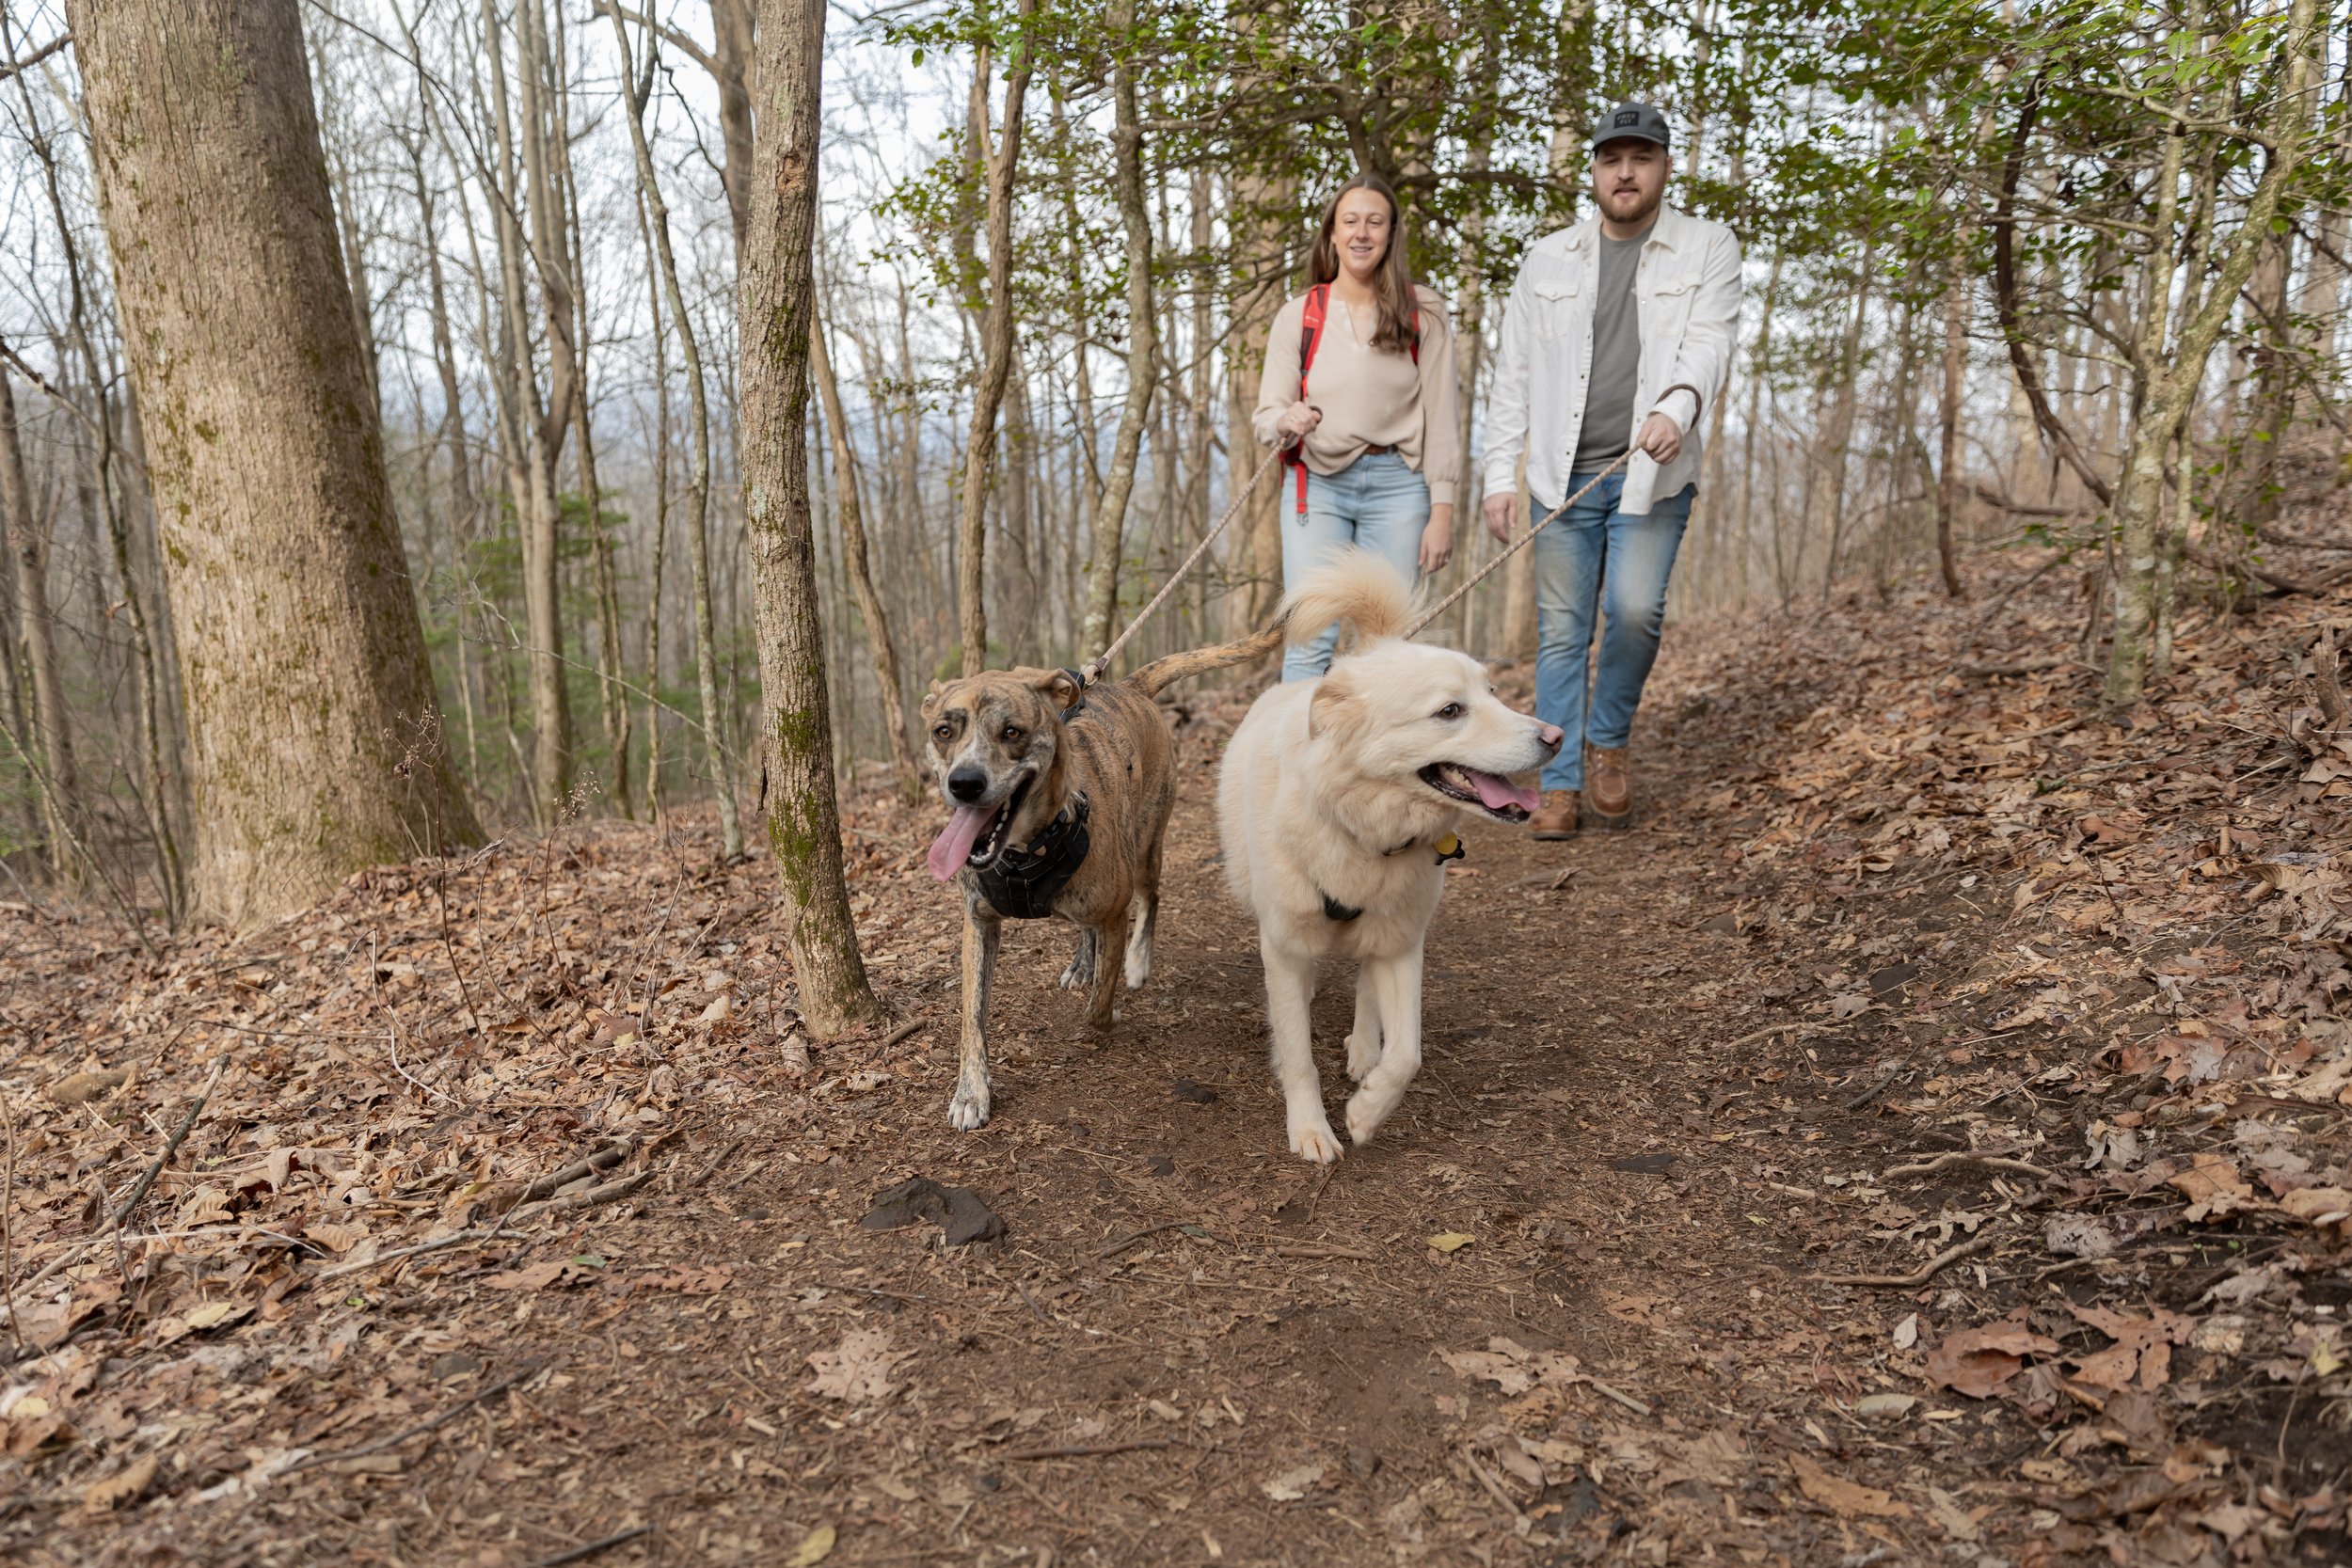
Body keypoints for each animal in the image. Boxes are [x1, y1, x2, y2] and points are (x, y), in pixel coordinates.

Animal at [922, 625, 1289, 1128]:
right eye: (944, 731)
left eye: (1012, 732)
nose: (964, 783)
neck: (1026, 849)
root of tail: (1129, 687)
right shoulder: (979, 924)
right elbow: (971, 1018)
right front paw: (971, 1092)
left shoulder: (1115, 913)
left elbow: (1098, 1005)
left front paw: (1109, 1009)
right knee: (1086, 927)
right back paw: (1083, 962)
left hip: (1146, 848)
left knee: (1150, 899)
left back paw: (1136, 961)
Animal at [1214, 554, 1562, 1165]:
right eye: (1450, 710)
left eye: (1493, 692)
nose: (1556, 737)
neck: (1363, 832)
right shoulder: (1286, 942)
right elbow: (1298, 1055)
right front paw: (1310, 1129)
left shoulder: (1402, 943)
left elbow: (1407, 1054)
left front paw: (1367, 1110)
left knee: (1368, 989)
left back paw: (1363, 1050)